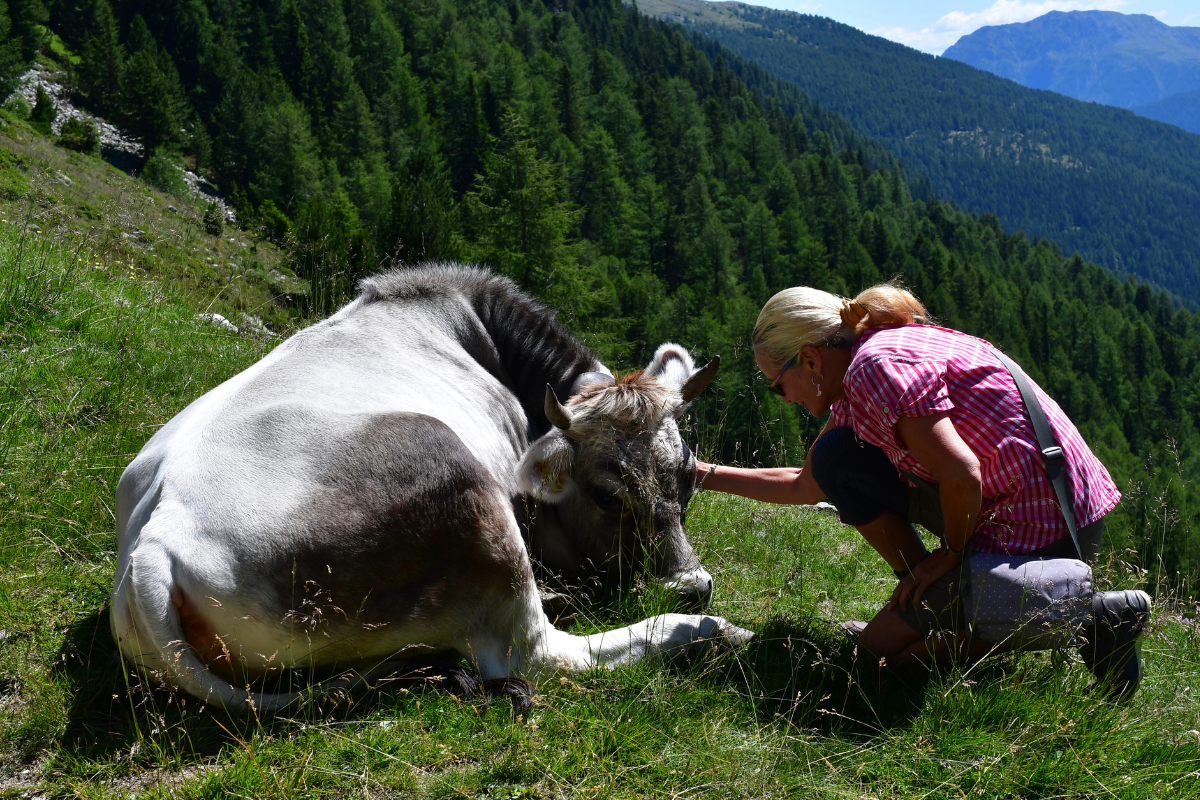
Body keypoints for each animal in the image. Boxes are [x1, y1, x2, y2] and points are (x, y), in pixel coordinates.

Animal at [111, 264, 752, 711]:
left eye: (689, 480)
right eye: (605, 495)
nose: (693, 588)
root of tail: (156, 545)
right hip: (465, 494)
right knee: (542, 653)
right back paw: (705, 631)